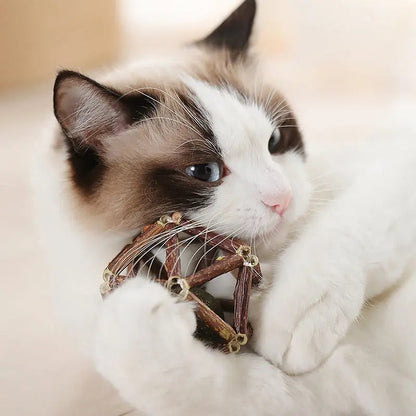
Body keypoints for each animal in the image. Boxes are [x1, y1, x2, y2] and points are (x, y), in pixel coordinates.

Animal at [34, 0, 416, 416]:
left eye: (275, 141)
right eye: (205, 171)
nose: (282, 198)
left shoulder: (389, 172)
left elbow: (342, 235)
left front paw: (295, 315)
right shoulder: (318, 392)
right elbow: (145, 362)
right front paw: (155, 304)